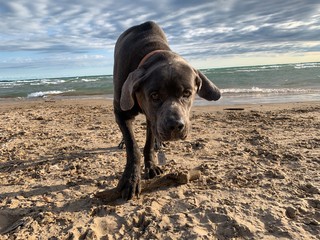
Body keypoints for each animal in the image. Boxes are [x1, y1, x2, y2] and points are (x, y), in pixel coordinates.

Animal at [112, 21, 220, 201]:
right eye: (154, 95)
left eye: (187, 93)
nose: (175, 126)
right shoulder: (121, 112)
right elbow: (133, 147)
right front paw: (130, 179)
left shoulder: (152, 119)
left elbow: (148, 143)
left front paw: (151, 165)